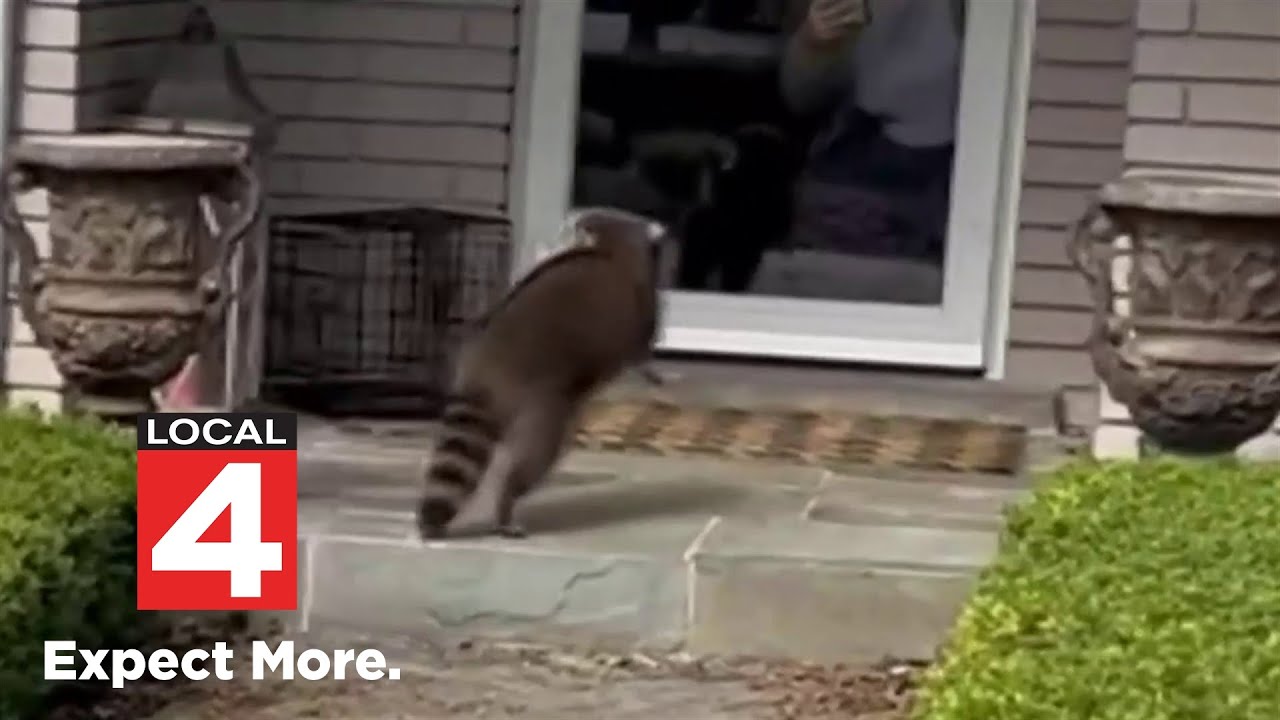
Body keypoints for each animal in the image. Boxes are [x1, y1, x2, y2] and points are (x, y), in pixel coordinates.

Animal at [417, 207, 669, 540]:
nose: (565, 229)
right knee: (532, 459)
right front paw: (651, 371)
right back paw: (506, 503)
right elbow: (640, 350)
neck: (612, 242)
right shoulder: (640, 306)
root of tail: (483, 361)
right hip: (541, 403)